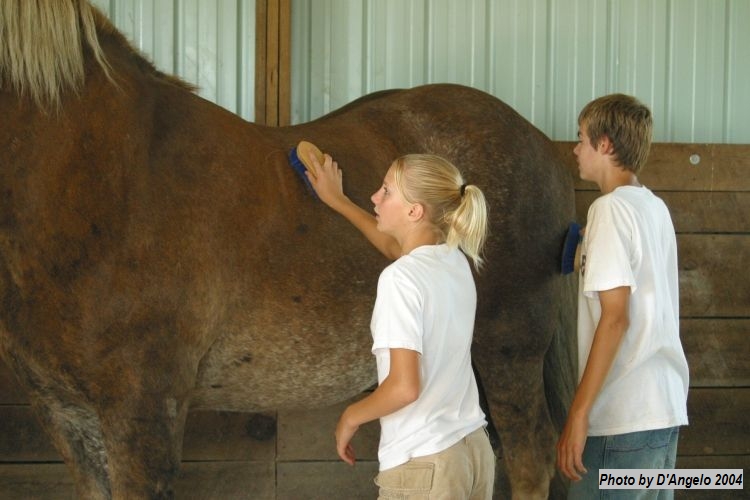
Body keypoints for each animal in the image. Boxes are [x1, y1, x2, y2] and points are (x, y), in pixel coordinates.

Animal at [0, 1, 580, 498]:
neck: (102, 175)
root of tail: (542, 144)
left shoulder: (142, 408)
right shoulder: (66, 413)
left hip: (508, 350)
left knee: (530, 460)